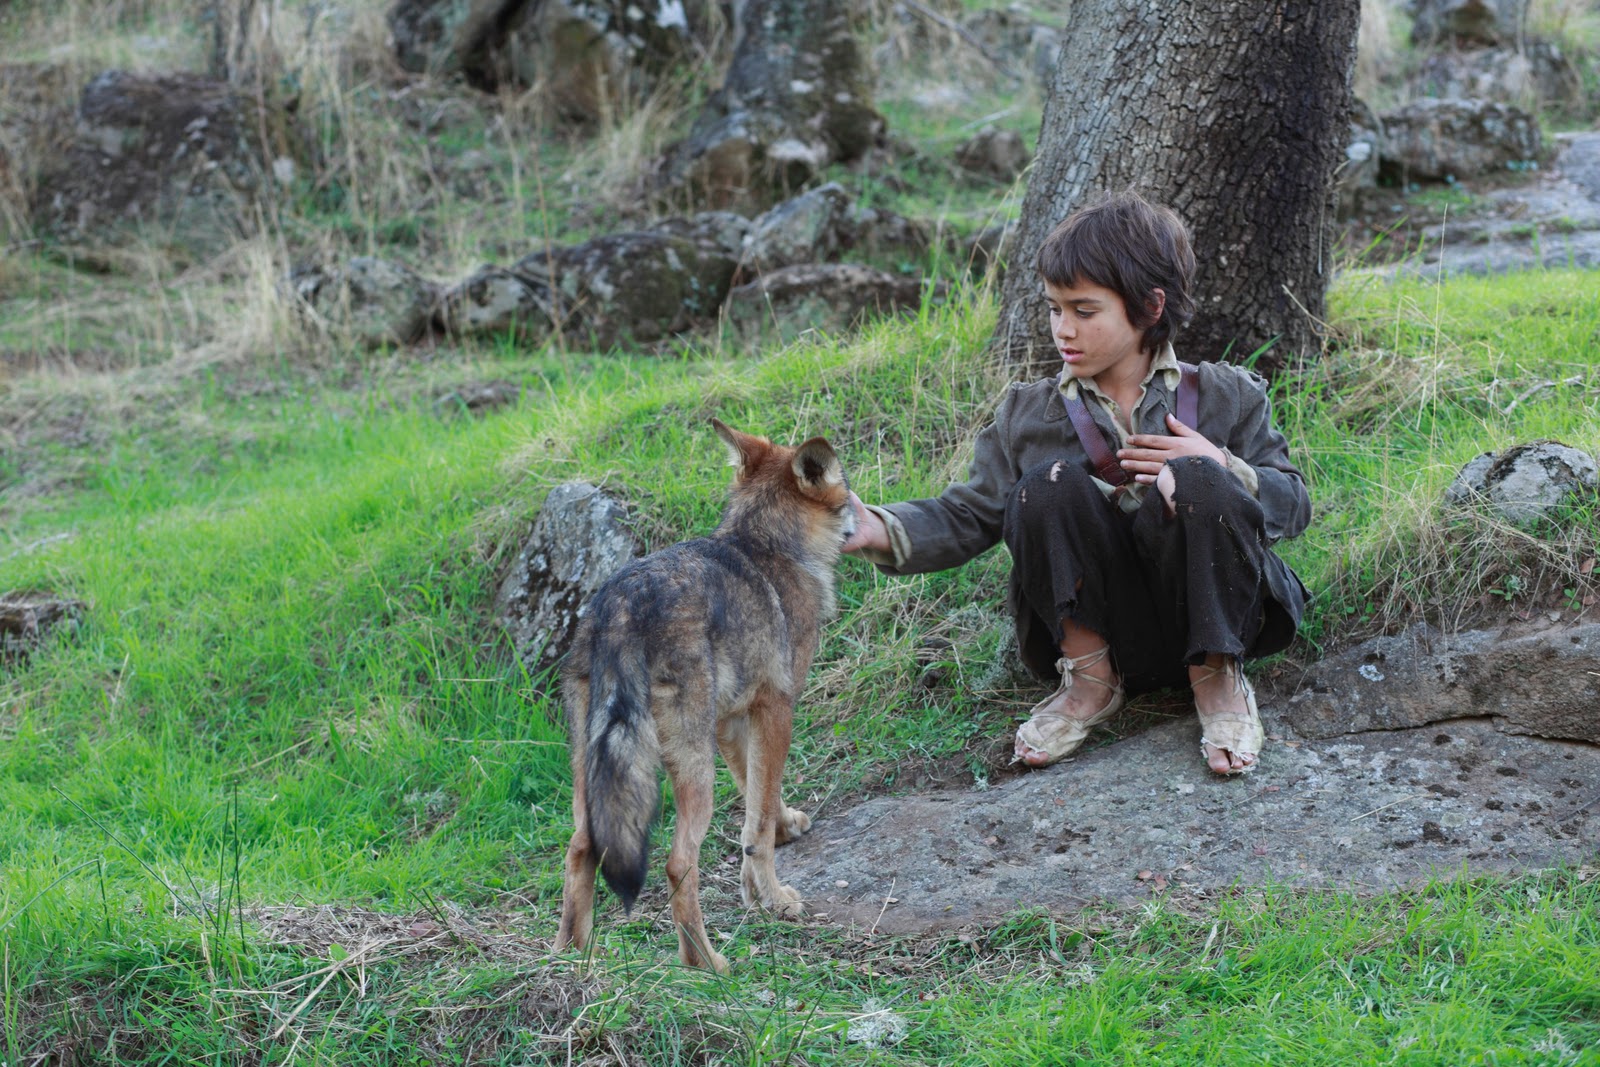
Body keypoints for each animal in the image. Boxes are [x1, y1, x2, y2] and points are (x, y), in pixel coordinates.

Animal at [556, 419, 857, 979]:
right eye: (847, 490)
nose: (863, 516)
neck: (767, 545)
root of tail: (621, 608)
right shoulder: (777, 707)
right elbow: (756, 823)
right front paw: (775, 899)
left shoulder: (733, 720)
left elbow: (758, 800)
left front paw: (778, 841)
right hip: (694, 773)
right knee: (678, 863)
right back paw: (706, 964)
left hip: (591, 768)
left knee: (580, 848)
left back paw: (576, 958)